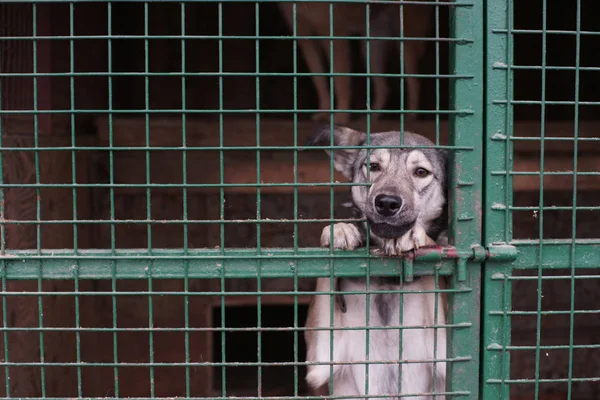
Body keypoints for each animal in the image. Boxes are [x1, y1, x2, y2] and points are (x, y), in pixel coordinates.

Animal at [278, 1, 434, 123]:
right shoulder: (306, 40)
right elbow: (319, 80)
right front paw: (324, 111)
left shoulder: (335, 37)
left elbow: (341, 82)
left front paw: (341, 116)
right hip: (369, 50)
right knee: (384, 87)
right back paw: (373, 116)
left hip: (405, 46)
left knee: (415, 82)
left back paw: (411, 115)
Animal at [302, 124, 448, 396]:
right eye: (373, 166)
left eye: (421, 172)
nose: (387, 203)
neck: (386, 283)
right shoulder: (320, 361)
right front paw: (340, 230)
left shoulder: (447, 356)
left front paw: (416, 237)